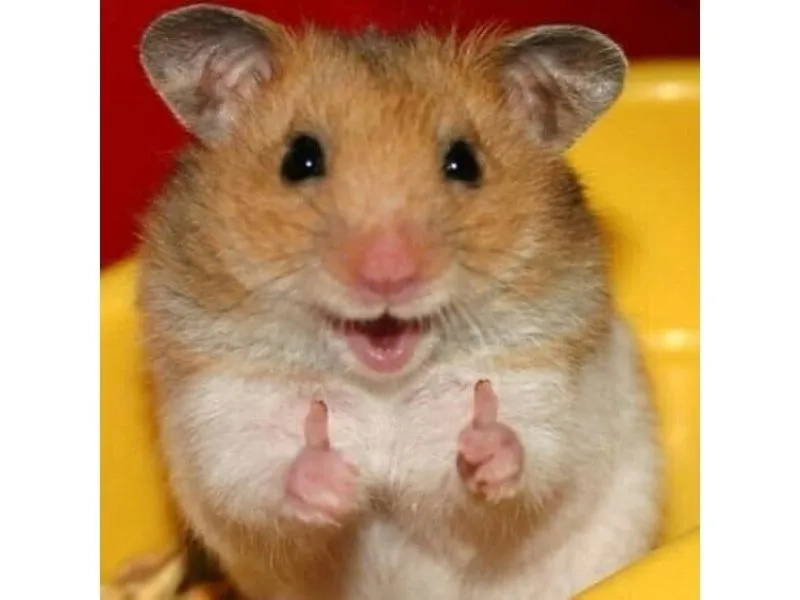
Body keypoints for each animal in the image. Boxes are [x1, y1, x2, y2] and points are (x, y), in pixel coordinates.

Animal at [135, 4, 663, 600]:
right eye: (299, 159)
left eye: (464, 162)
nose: (388, 275)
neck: (382, 387)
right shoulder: (223, 415)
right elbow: (258, 481)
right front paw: (333, 478)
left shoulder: (546, 395)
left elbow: (526, 467)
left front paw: (482, 443)